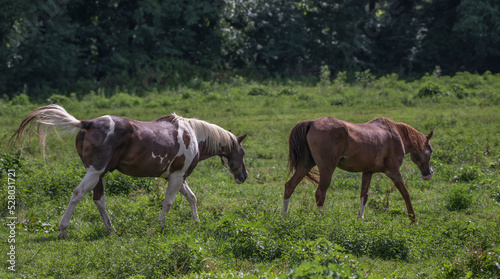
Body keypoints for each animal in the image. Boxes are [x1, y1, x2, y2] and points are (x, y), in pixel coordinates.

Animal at [9, 105, 248, 238]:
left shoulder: (177, 177)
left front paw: (196, 222)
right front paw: (159, 226)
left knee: (99, 200)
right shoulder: (177, 177)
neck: (193, 135)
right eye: (243, 152)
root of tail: (89, 123)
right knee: (77, 194)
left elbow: (191, 197)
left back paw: (111, 229)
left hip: (99, 174)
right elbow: (168, 203)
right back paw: (63, 229)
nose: (243, 177)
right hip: (95, 172)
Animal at [282, 117, 434, 222]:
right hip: (327, 169)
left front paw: (360, 219)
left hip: (305, 165)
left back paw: (284, 216)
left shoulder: (367, 172)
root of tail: (311, 122)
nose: (429, 173)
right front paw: (413, 219)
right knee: (320, 193)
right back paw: (321, 219)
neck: (396, 134)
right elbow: (405, 193)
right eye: (431, 150)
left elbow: (364, 195)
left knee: (290, 186)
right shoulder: (394, 172)